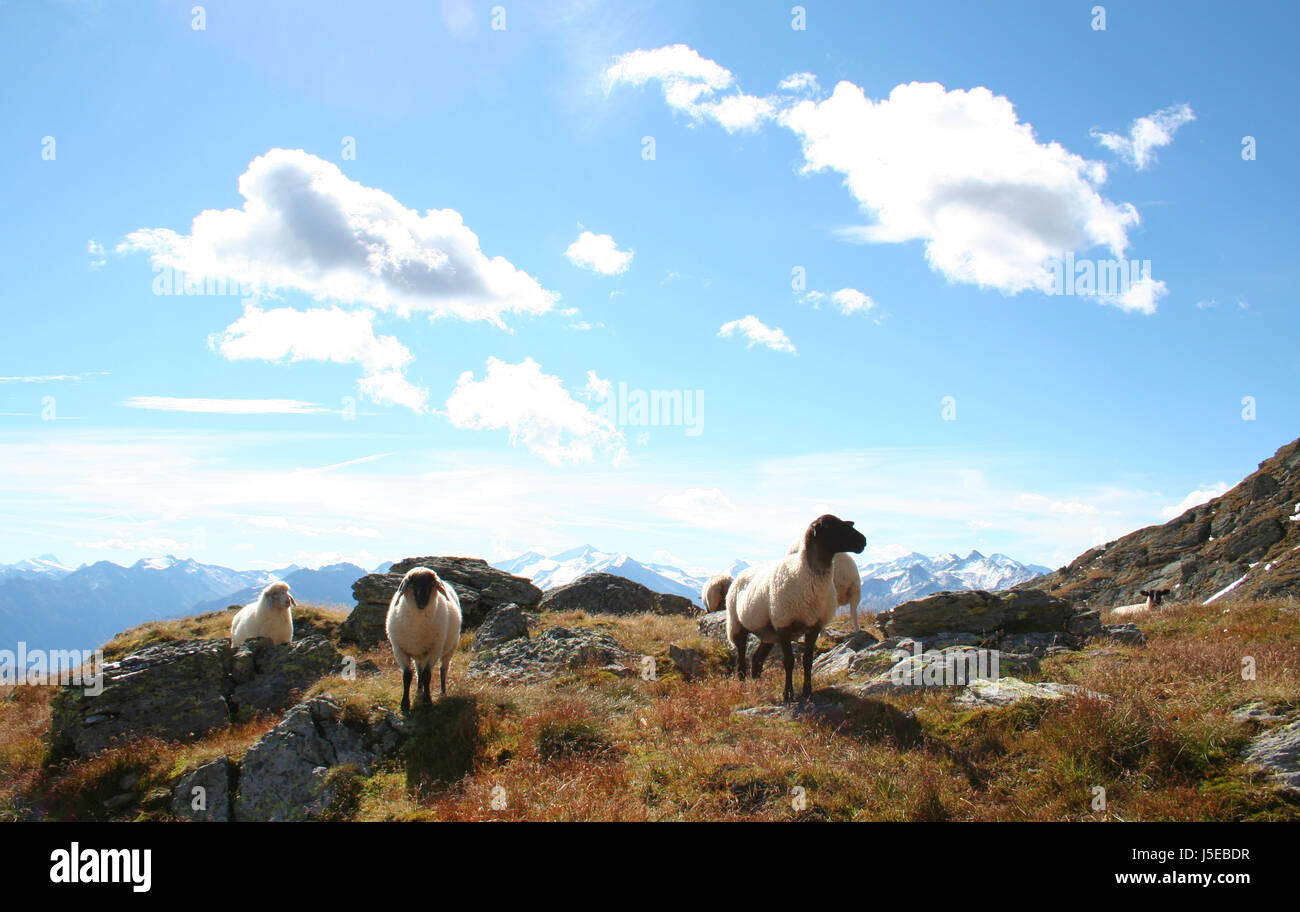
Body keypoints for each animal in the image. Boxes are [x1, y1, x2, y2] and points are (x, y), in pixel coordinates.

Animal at [384, 563, 462, 717]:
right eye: (412, 585)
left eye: (431, 585)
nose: (421, 603)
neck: (417, 628)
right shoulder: (399, 650)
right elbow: (407, 675)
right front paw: (405, 705)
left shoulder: (434, 650)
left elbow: (427, 675)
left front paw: (427, 701)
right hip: (418, 654)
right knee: (418, 670)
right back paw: (419, 690)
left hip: (449, 648)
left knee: (443, 670)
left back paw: (442, 692)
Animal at [728, 517, 868, 701]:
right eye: (831, 526)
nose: (863, 541)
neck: (805, 572)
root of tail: (741, 575)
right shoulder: (784, 625)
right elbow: (789, 661)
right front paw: (788, 694)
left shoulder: (814, 626)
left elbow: (808, 661)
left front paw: (807, 692)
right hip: (738, 625)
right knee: (741, 660)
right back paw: (743, 686)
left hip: (768, 633)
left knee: (757, 658)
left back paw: (757, 685)